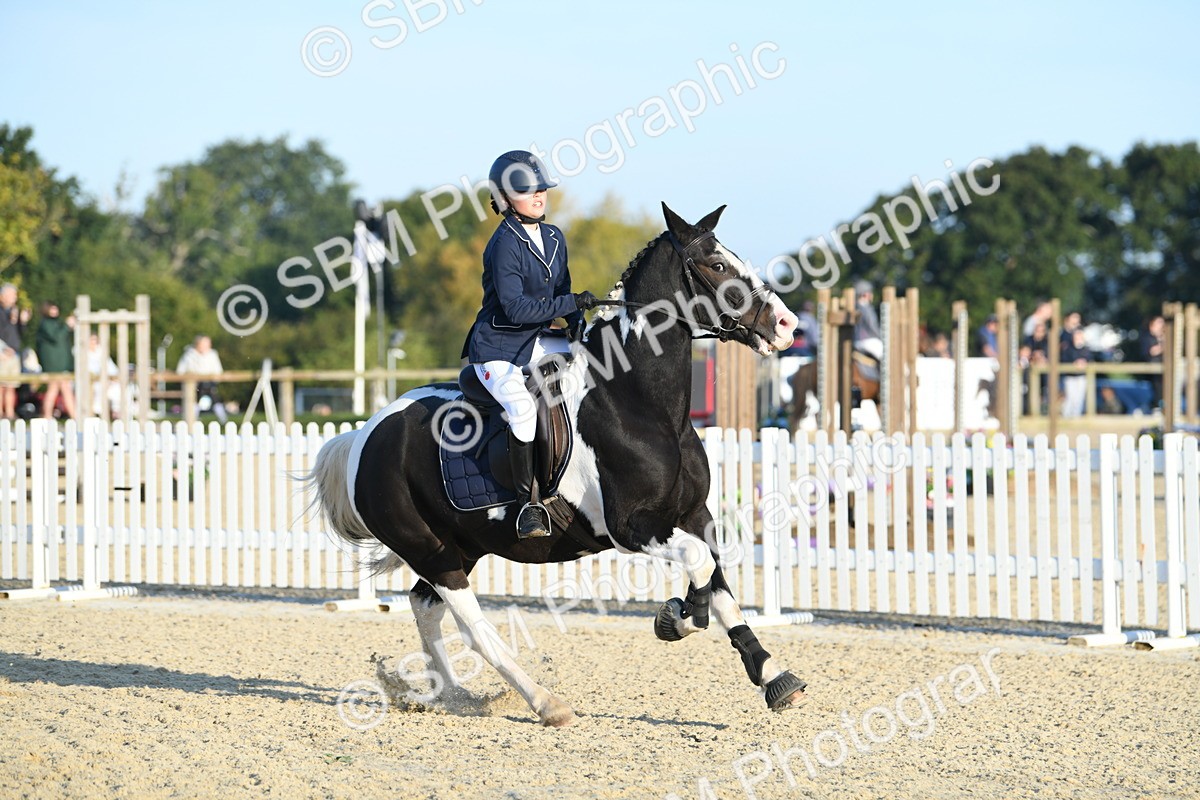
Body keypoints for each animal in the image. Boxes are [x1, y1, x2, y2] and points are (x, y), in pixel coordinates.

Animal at [305, 202, 805, 727]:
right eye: (718, 266)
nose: (787, 324)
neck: (638, 402)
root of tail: (364, 434)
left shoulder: (692, 514)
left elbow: (718, 579)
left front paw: (771, 674)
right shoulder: (632, 528)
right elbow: (699, 564)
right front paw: (679, 617)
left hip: (461, 545)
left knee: (426, 607)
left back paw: (454, 696)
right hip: (432, 551)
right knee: (474, 627)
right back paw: (544, 702)